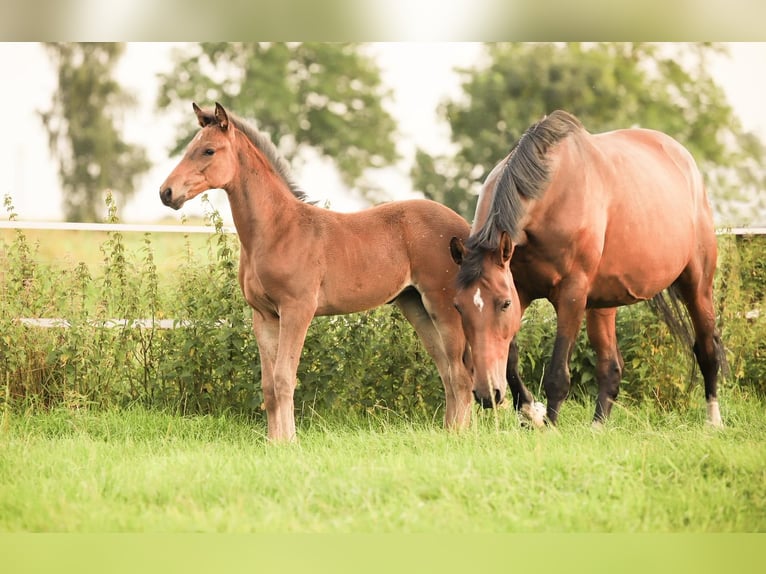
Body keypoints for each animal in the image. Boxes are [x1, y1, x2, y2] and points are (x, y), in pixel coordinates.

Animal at [159, 102, 474, 441]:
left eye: (208, 150)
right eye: (189, 148)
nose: (166, 192)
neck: (277, 229)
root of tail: (464, 228)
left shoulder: (297, 309)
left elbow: (285, 378)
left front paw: (289, 442)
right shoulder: (264, 316)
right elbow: (268, 385)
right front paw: (273, 442)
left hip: (443, 306)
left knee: (461, 375)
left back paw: (459, 436)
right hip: (415, 304)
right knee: (447, 370)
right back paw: (448, 431)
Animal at [449, 110, 724, 428]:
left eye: (503, 304)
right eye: (458, 307)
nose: (487, 394)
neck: (552, 193)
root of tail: (685, 160)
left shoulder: (571, 295)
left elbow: (557, 373)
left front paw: (550, 426)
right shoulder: (521, 289)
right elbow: (511, 360)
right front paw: (531, 411)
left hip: (698, 286)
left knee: (707, 351)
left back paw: (714, 422)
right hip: (602, 303)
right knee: (611, 367)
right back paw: (597, 427)